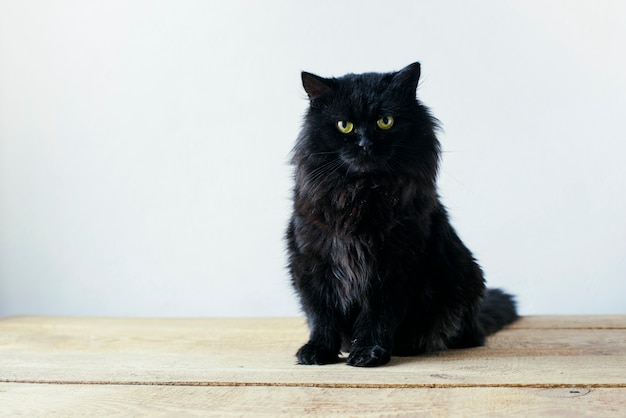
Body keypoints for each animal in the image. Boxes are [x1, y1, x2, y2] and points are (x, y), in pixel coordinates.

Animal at [286, 62, 516, 366]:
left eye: (386, 121)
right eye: (344, 125)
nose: (365, 144)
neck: (362, 195)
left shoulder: (394, 267)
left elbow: (378, 316)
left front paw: (368, 352)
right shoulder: (312, 260)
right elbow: (321, 315)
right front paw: (318, 350)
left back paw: (410, 345)